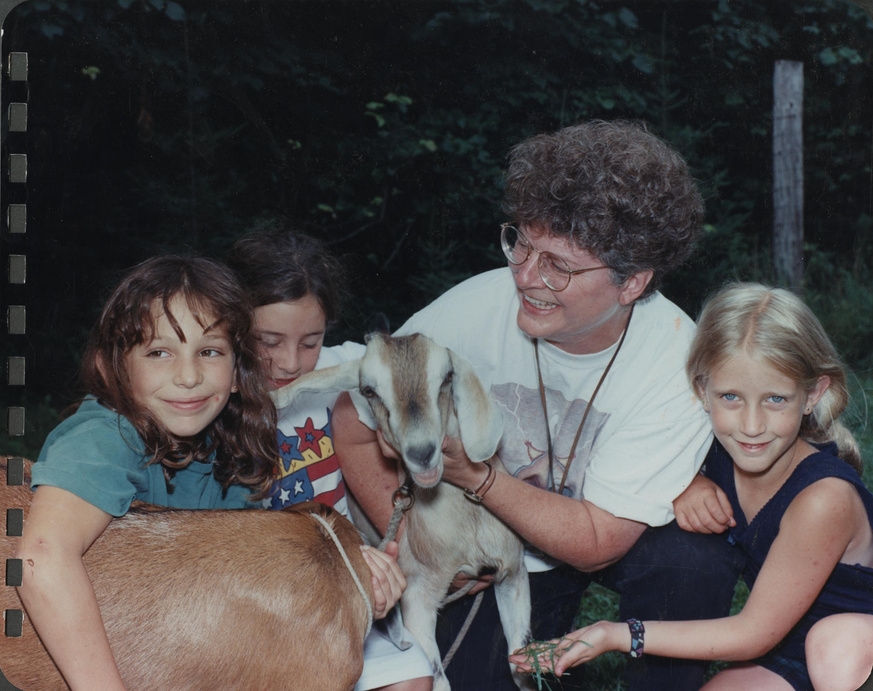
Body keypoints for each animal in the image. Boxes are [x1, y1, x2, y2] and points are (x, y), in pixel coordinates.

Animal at [273, 332, 533, 691]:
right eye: (369, 390)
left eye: (447, 377)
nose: (422, 453)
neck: (467, 527)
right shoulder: (419, 596)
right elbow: (438, 677)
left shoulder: (512, 573)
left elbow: (518, 665)